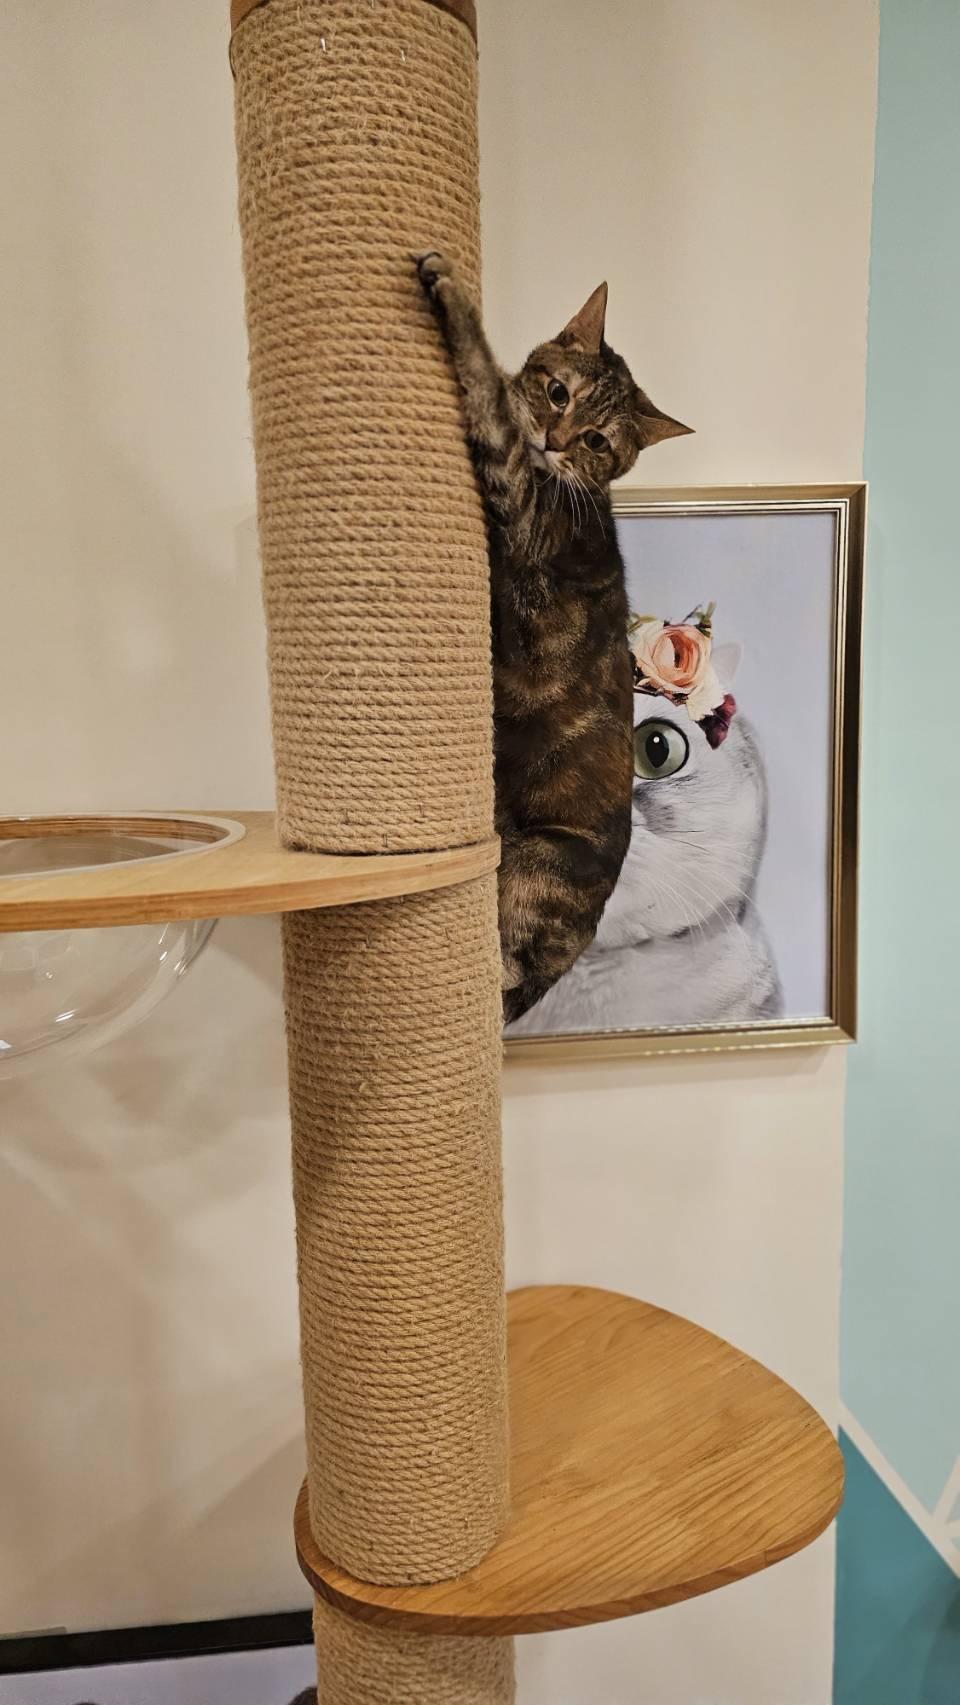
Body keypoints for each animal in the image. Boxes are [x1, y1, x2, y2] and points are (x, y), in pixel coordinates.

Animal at [416, 253, 691, 1022]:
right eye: (559, 392)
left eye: (598, 442)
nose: (556, 441)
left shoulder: (514, 489)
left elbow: (488, 395)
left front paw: (452, 291)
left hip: (531, 866)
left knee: (496, 974)